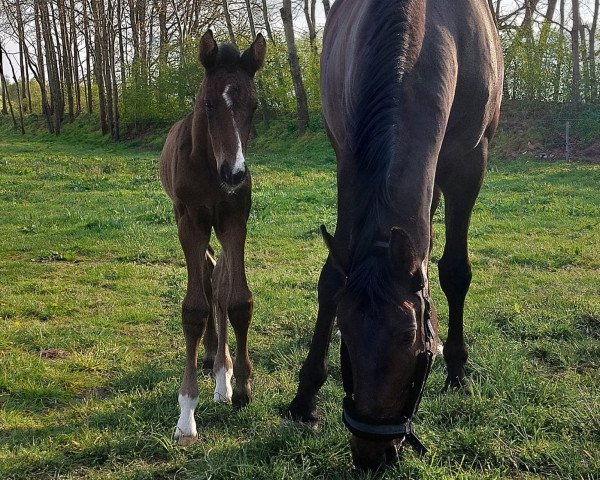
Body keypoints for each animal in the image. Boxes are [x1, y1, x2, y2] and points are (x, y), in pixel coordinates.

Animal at [159, 29, 264, 442]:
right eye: (207, 104)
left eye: (254, 106)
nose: (234, 173)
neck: (207, 164)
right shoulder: (191, 222)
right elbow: (194, 308)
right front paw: (186, 414)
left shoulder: (235, 219)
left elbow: (236, 298)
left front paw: (241, 384)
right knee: (205, 276)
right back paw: (209, 356)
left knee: (216, 278)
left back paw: (222, 373)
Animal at [286, 0, 502, 470]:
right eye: (345, 330)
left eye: (409, 338)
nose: (372, 455)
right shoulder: (350, 160)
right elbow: (333, 276)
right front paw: (304, 396)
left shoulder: (470, 162)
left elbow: (455, 271)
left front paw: (457, 371)